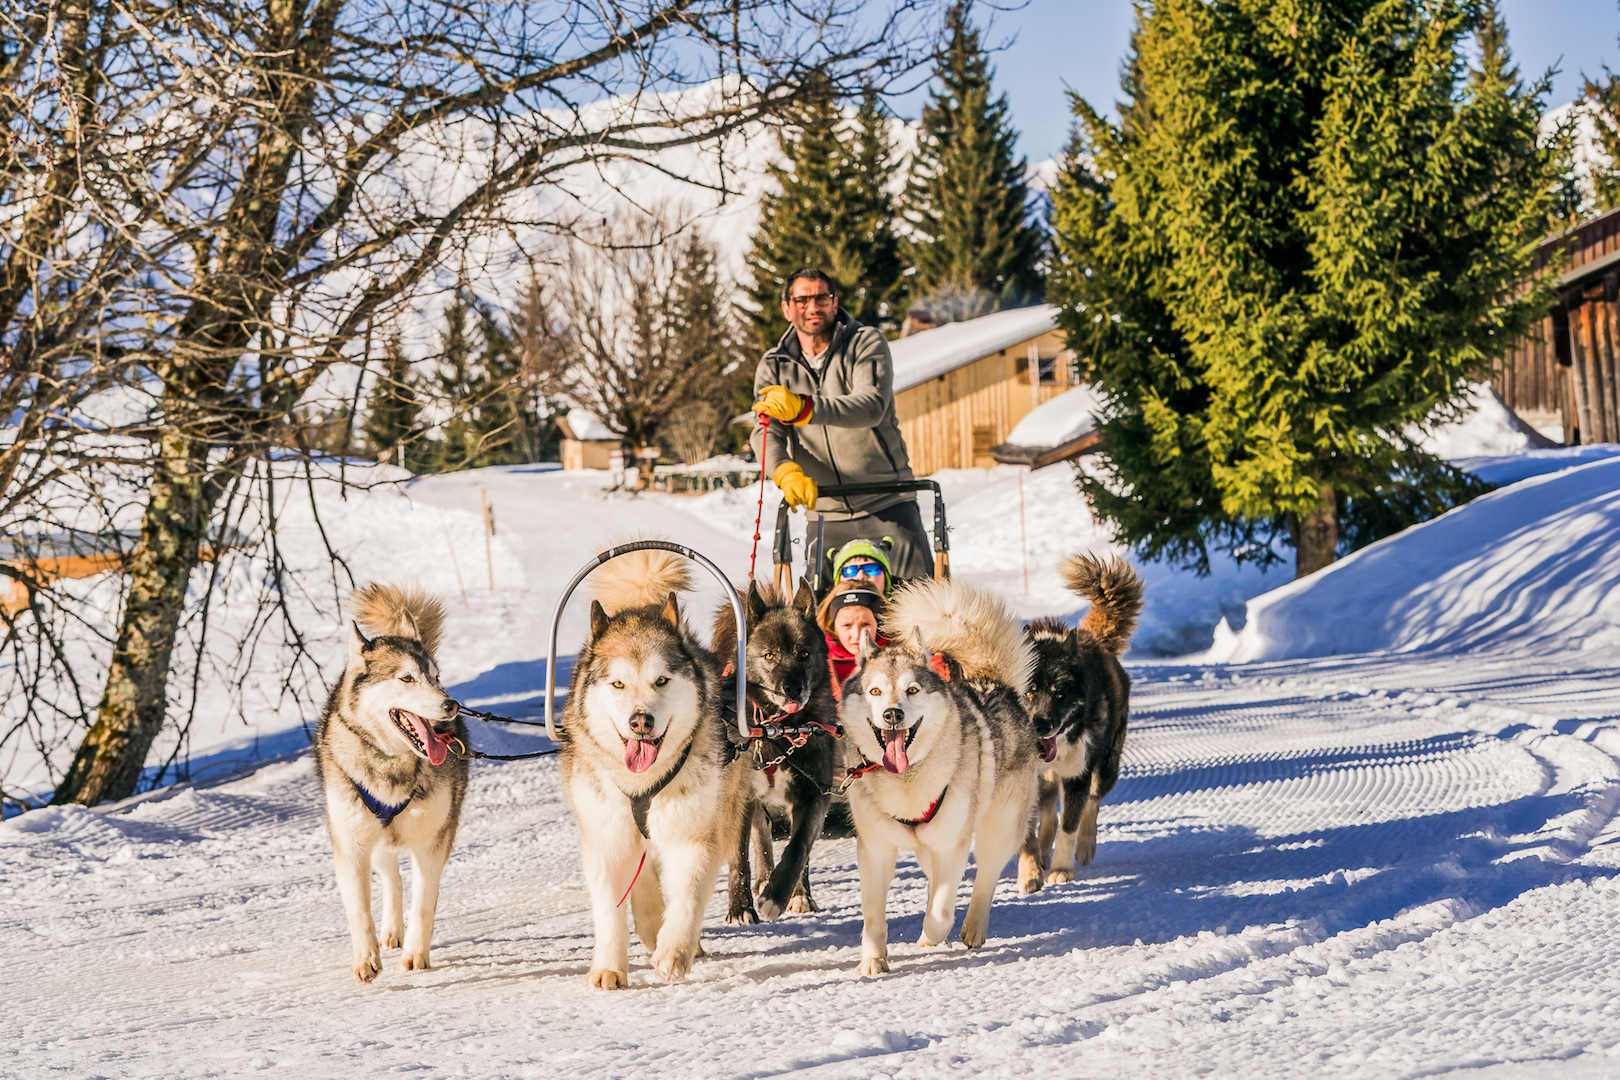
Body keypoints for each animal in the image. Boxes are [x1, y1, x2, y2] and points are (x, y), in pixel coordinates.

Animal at [314, 586, 469, 984]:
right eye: (406, 678)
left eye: (436, 677)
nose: (451, 705)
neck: (391, 764)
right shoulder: (350, 845)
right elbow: (358, 908)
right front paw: (365, 959)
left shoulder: (433, 841)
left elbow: (424, 901)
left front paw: (416, 953)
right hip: (378, 836)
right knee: (391, 877)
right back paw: (390, 931)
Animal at [560, 550, 754, 990]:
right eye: (617, 684)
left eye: (661, 680)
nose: (640, 721)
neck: (642, 783)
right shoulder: (606, 840)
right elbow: (609, 908)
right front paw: (609, 967)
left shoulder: (694, 836)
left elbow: (687, 897)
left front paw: (675, 951)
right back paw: (649, 924)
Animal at [709, 579, 835, 926]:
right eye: (769, 655)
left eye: (804, 653)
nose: (793, 688)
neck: (777, 730)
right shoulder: (737, 796)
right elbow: (739, 856)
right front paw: (741, 907)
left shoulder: (814, 793)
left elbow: (798, 847)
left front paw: (778, 896)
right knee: (761, 835)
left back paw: (794, 892)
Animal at [842, 579, 1030, 977]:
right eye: (874, 691)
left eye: (912, 690)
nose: (892, 714)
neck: (907, 780)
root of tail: (994, 684)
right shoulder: (875, 849)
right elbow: (873, 916)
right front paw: (873, 960)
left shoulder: (951, 845)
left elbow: (941, 913)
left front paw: (931, 935)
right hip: (929, 847)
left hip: (996, 828)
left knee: (985, 877)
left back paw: (973, 927)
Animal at [1017, 553, 1146, 893]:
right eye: (1030, 691)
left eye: (1060, 694)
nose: (1041, 725)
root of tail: (1096, 639)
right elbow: (1028, 832)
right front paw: (1030, 872)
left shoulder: (1078, 776)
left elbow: (1069, 827)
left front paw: (1062, 869)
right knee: (1048, 811)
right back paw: (1043, 851)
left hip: (1106, 763)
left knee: (1092, 802)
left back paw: (1085, 846)